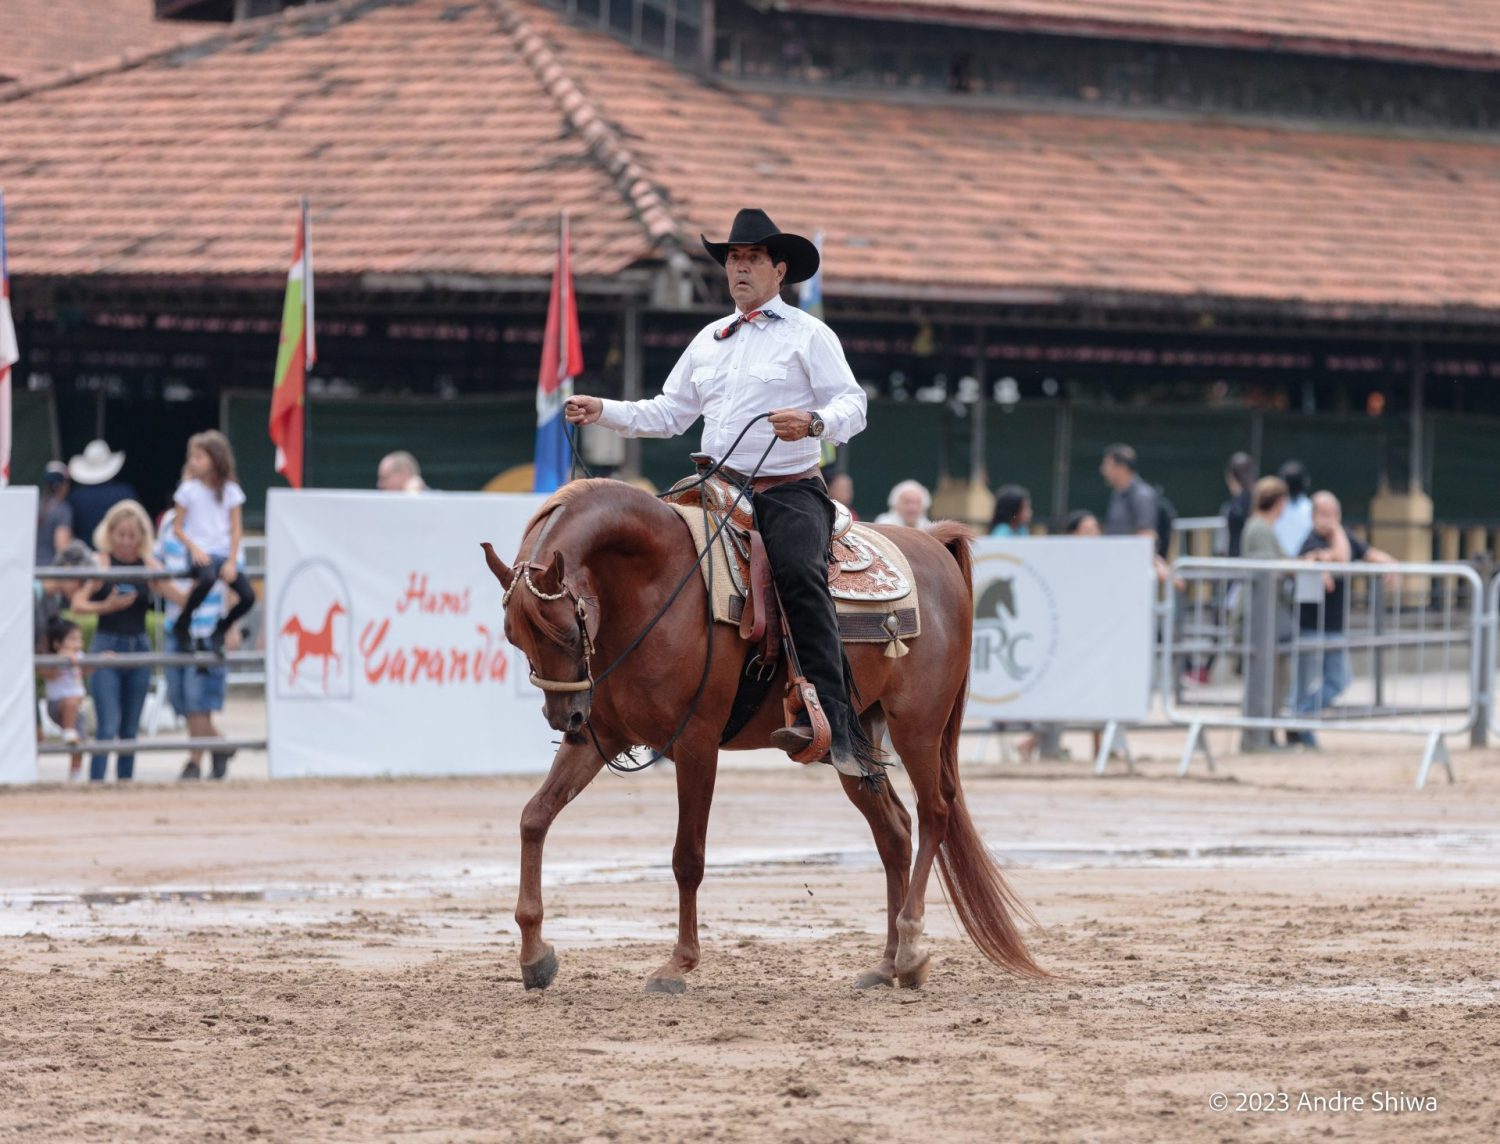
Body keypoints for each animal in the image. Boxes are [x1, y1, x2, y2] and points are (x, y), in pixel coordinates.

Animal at [483, 476, 1044, 995]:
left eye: (563, 630)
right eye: (514, 635)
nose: (564, 717)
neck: (653, 582)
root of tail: (932, 543)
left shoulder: (696, 742)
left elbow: (688, 857)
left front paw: (678, 965)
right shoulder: (604, 735)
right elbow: (534, 817)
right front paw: (534, 954)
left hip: (919, 726)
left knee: (935, 814)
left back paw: (908, 948)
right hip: (854, 742)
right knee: (895, 832)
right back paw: (886, 964)